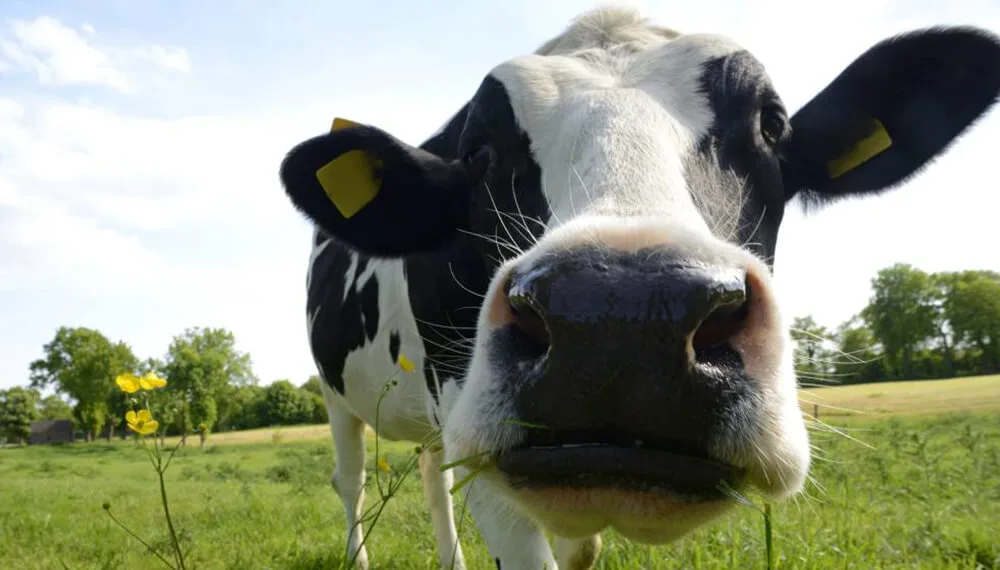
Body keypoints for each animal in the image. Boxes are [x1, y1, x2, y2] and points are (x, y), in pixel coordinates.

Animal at [279, 6, 1000, 570]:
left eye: (771, 124)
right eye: (477, 149)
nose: (620, 317)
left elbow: (581, 548)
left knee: (431, 475)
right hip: (337, 396)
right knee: (353, 481)